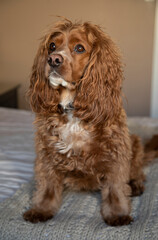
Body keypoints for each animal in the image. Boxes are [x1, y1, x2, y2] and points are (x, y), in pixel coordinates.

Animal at [23, 19, 147, 226]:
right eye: (52, 46)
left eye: (79, 48)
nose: (53, 59)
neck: (71, 107)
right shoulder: (46, 151)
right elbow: (48, 185)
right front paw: (41, 209)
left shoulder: (116, 150)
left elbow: (115, 188)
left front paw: (117, 213)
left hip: (135, 142)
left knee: (138, 170)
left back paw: (136, 184)